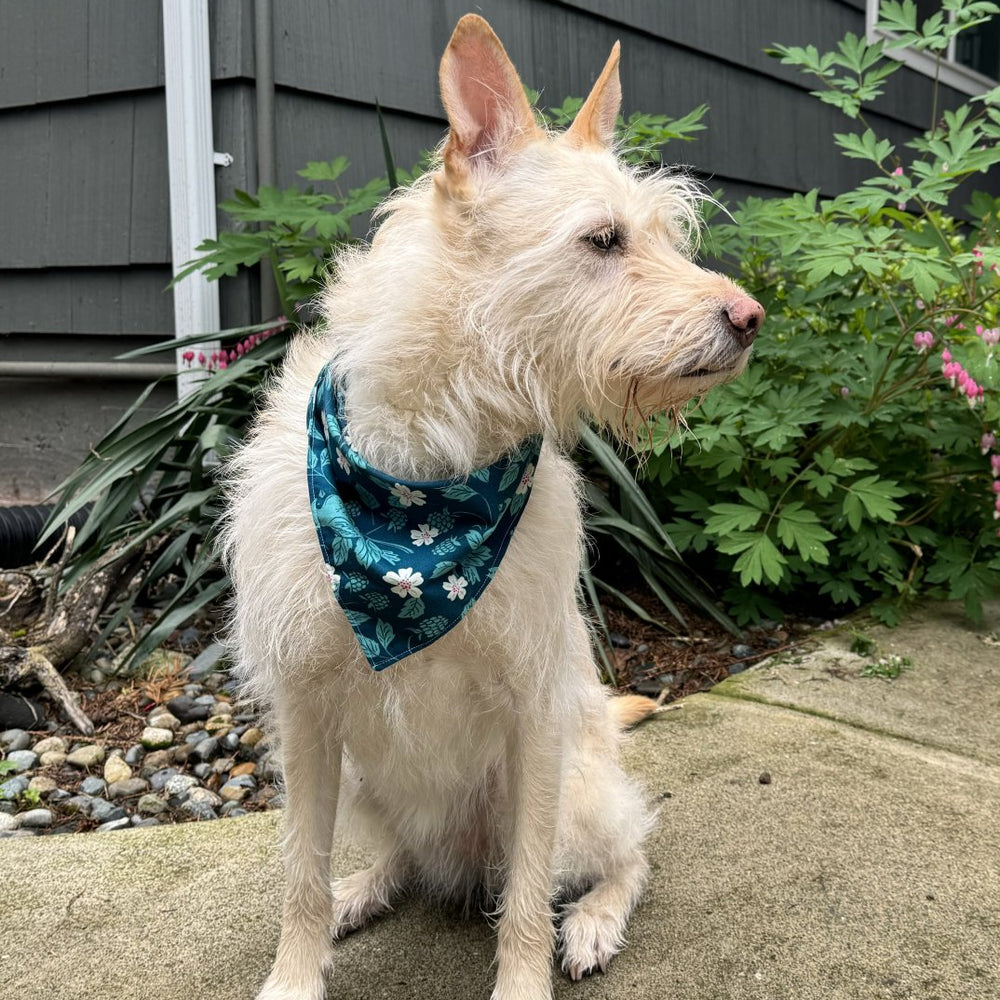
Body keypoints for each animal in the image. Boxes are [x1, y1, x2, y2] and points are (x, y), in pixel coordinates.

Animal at [223, 13, 760, 1000]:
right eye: (603, 240)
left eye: (666, 235)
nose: (751, 320)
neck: (425, 484)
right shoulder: (307, 715)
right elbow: (298, 872)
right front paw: (296, 972)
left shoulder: (534, 710)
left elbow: (526, 896)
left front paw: (525, 978)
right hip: (369, 782)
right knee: (404, 856)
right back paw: (368, 886)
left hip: (577, 792)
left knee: (619, 853)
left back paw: (592, 921)